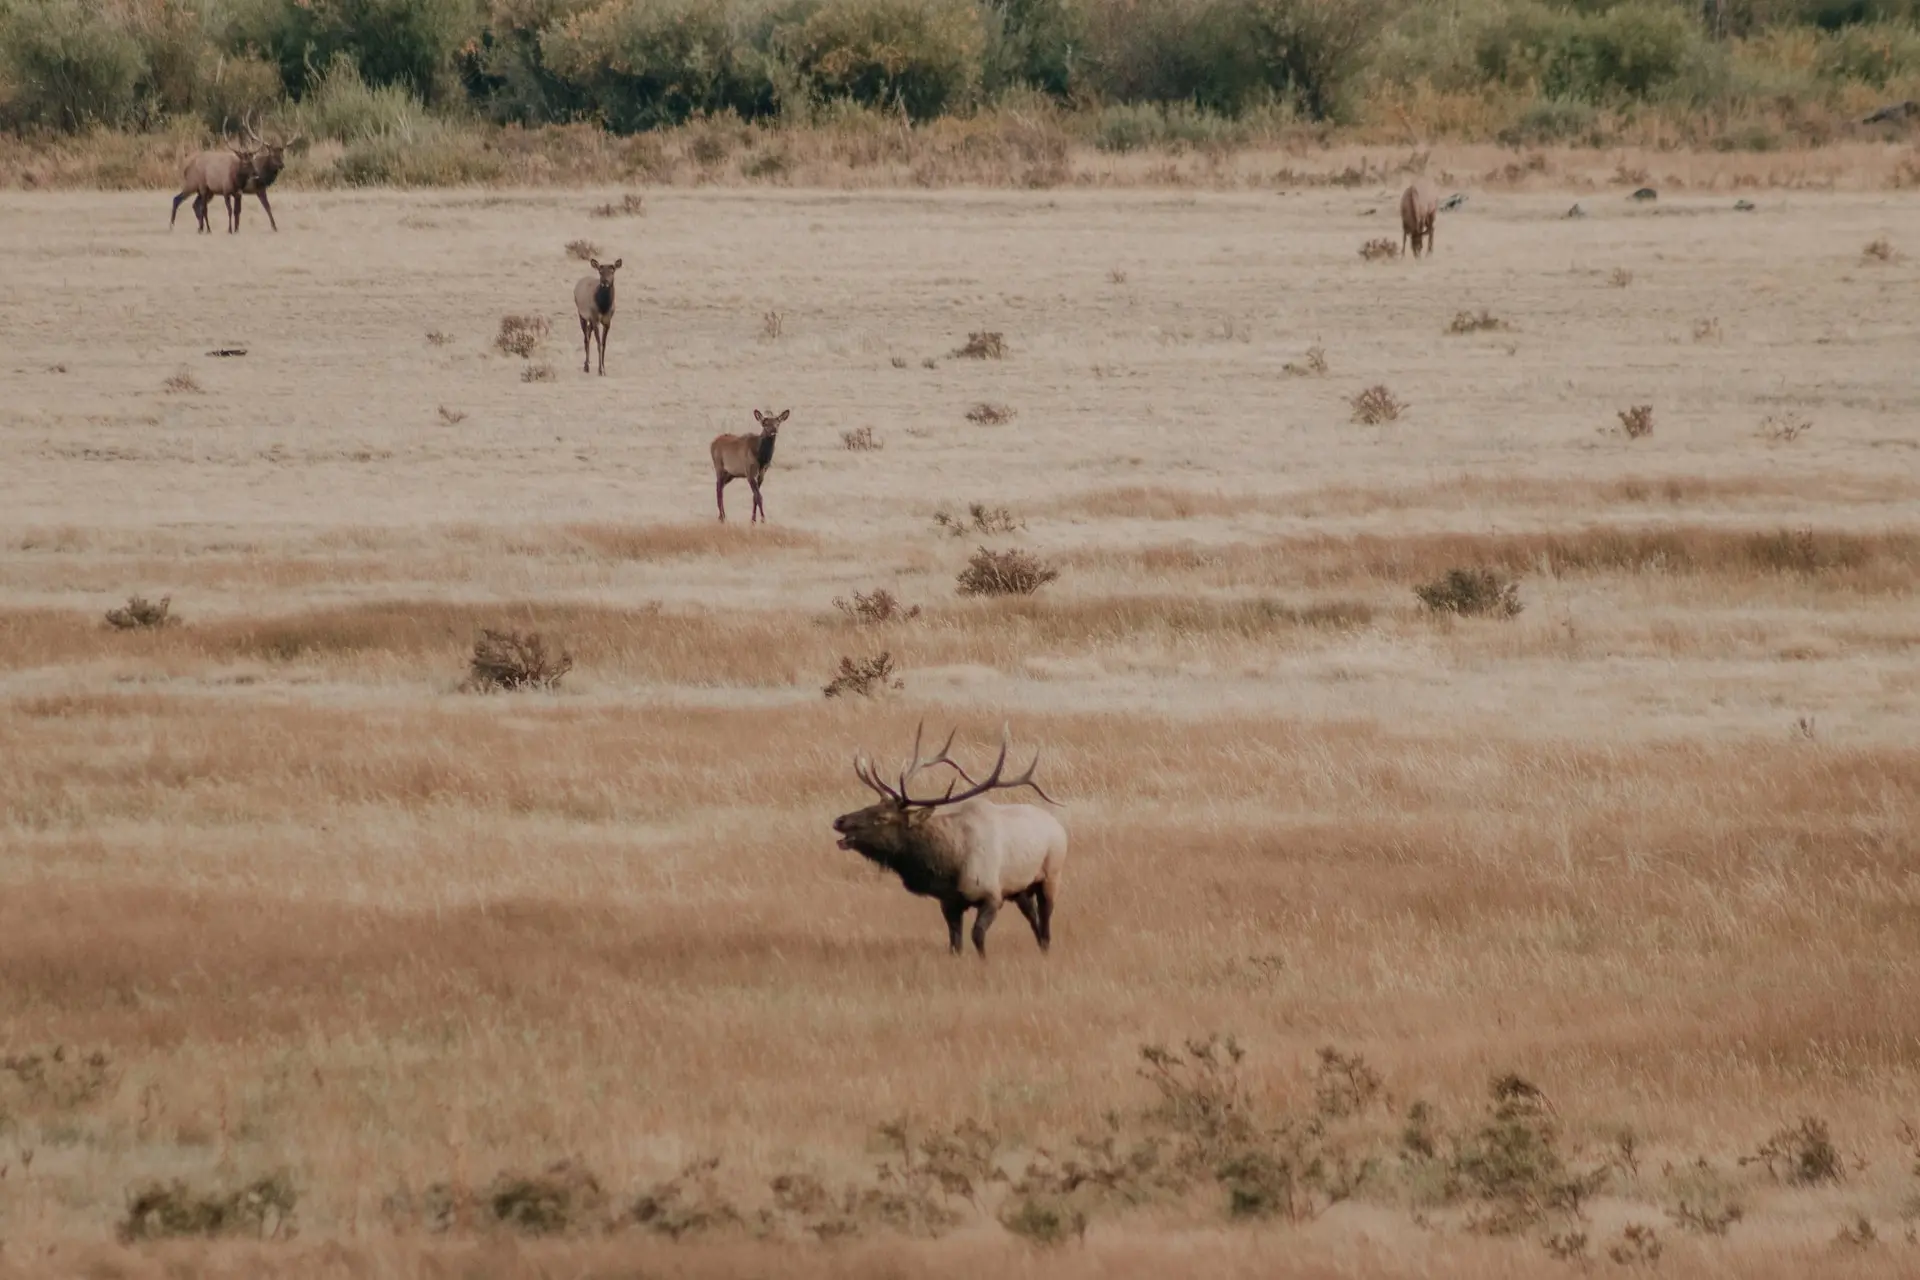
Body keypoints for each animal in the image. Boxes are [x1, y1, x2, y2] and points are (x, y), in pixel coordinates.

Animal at [829, 721, 1075, 959]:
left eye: (882, 818)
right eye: (871, 805)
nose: (839, 820)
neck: (949, 865)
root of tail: (1057, 825)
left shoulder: (992, 895)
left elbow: (977, 935)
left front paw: (983, 961)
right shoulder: (949, 902)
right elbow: (955, 943)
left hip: (1051, 876)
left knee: (1045, 922)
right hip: (1020, 889)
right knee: (1034, 920)